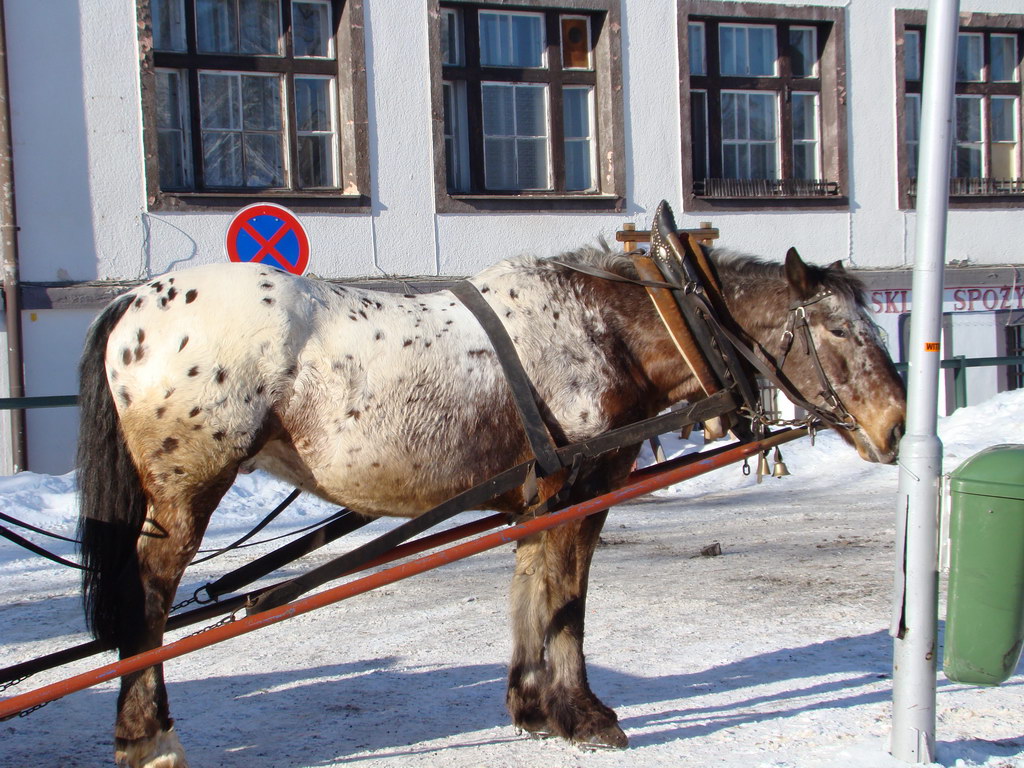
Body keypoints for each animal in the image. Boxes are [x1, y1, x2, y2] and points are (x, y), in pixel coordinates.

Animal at [77, 219, 905, 765]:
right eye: (841, 333)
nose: (896, 426)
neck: (607, 328)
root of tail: (133, 303)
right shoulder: (579, 495)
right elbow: (566, 602)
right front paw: (582, 714)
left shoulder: (540, 501)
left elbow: (531, 592)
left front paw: (533, 708)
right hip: (186, 492)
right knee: (149, 601)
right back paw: (149, 736)